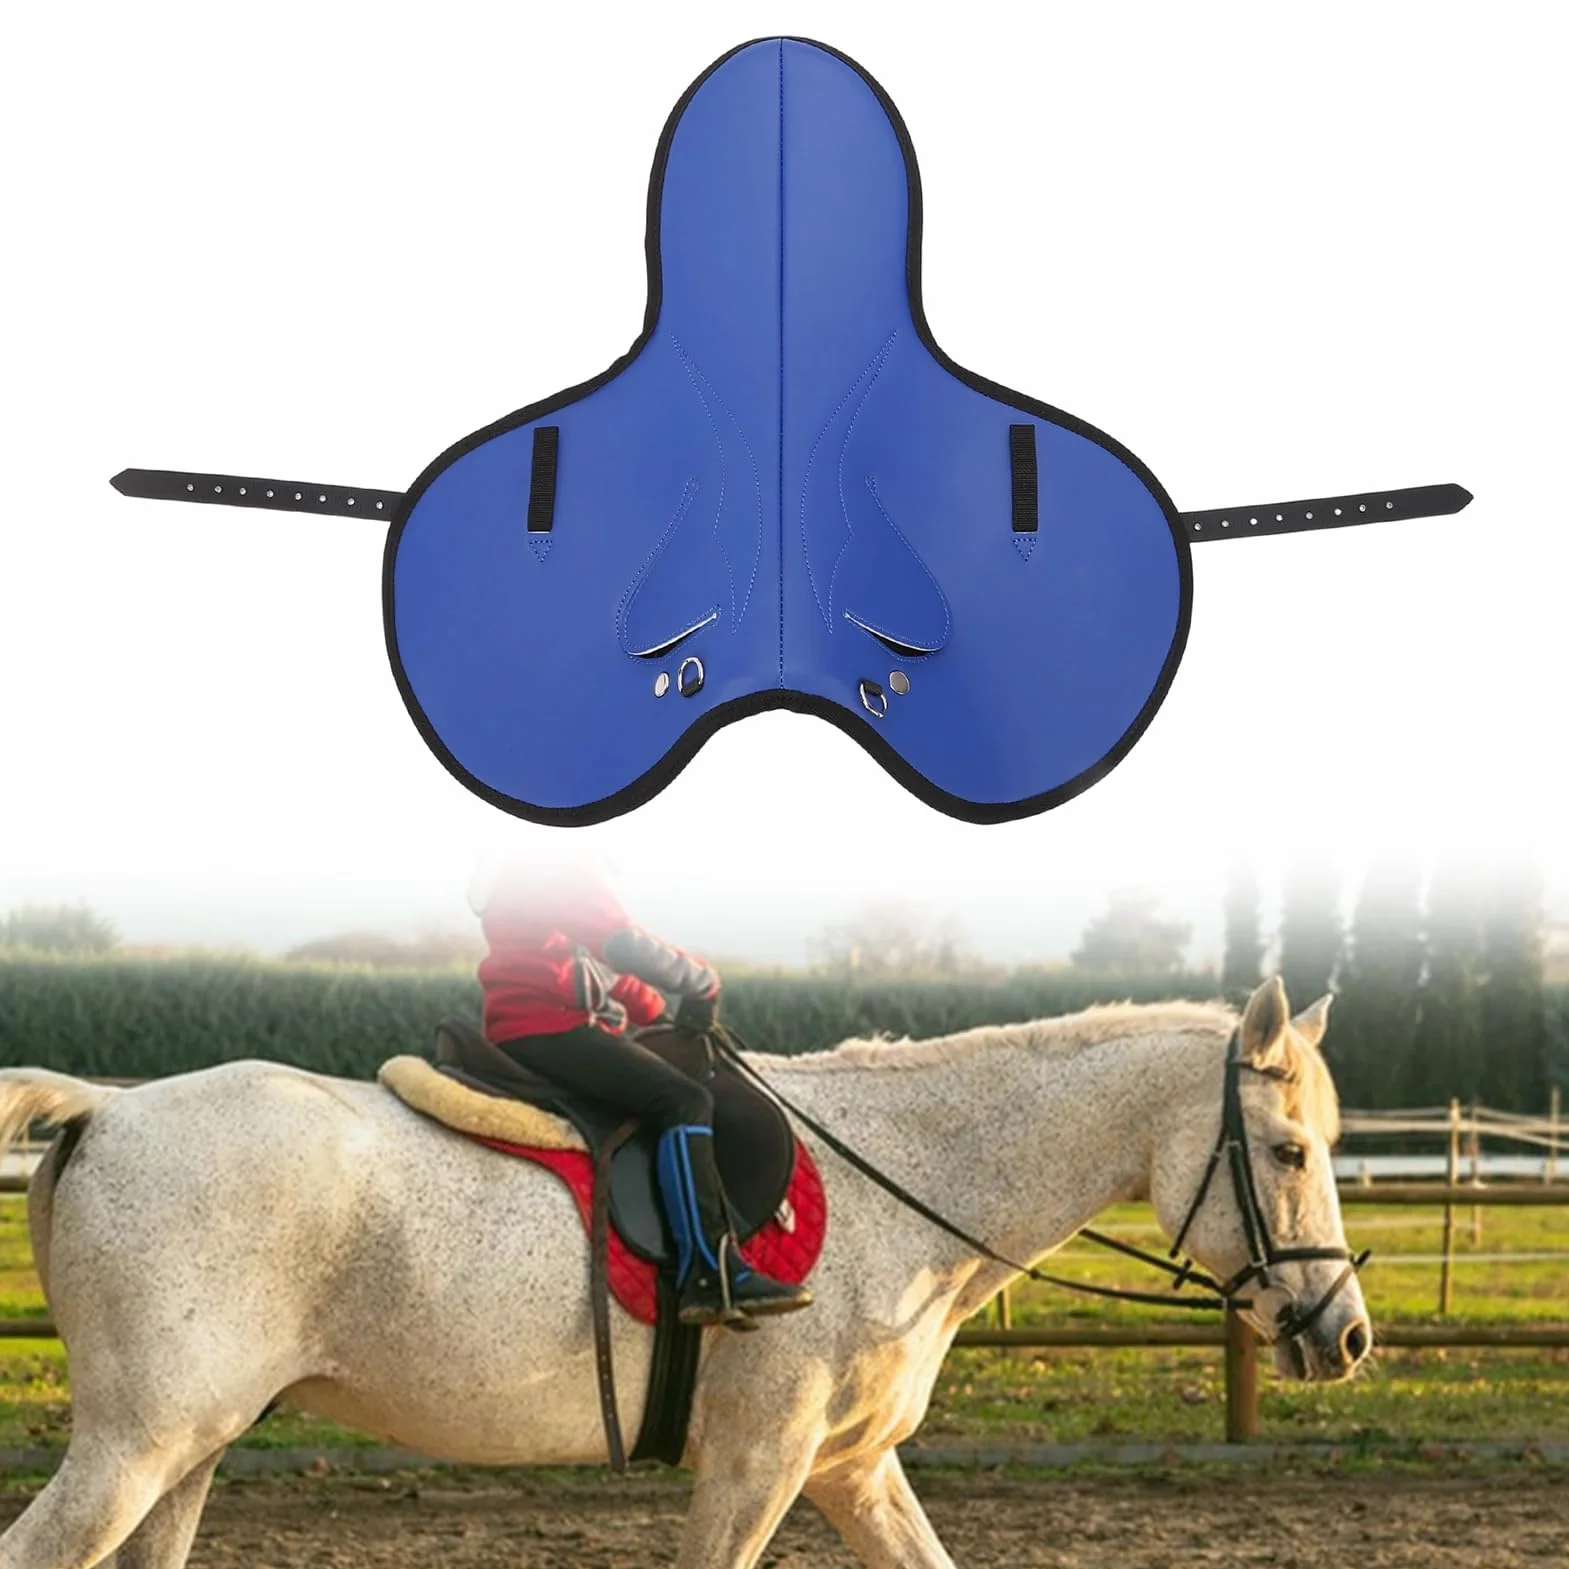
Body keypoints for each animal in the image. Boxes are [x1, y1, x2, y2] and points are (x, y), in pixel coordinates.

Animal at [0, 975, 1369, 1569]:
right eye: (1291, 1149)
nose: (1344, 1334)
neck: (905, 1179)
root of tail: (105, 1109)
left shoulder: (850, 1469)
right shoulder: (758, 1463)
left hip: (188, 1452)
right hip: (136, 1448)